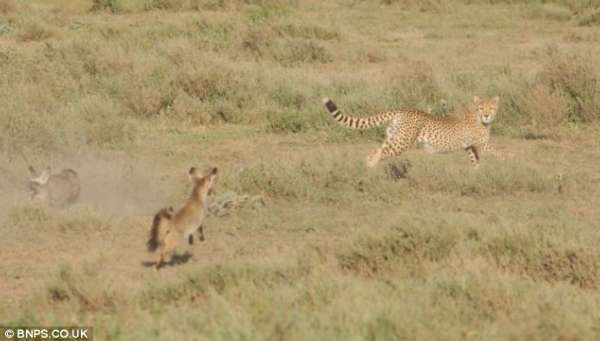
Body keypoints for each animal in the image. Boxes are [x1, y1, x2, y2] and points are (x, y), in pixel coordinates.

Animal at [324, 95, 502, 167]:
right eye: (482, 107)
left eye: (491, 107)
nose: (486, 115)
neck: (476, 116)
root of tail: (401, 109)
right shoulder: (482, 143)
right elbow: (499, 150)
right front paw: (508, 159)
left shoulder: (470, 146)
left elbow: (475, 160)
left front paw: (476, 174)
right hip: (402, 143)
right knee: (380, 153)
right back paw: (371, 168)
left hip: (394, 138)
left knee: (375, 150)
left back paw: (367, 169)